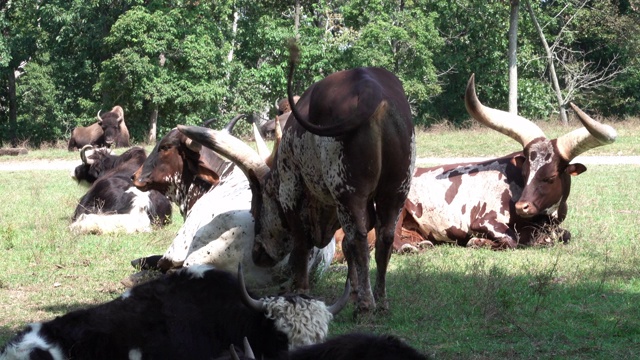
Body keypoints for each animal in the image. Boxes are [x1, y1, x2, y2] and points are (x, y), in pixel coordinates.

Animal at [180, 42, 418, 314]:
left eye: (256, 207)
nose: (257, 253)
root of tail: (372, 89)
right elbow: (347, 246)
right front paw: (353, 291)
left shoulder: (291, 189)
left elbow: (302, 243)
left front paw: (301, 289)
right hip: (397, 188)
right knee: (384, 236)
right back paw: (381, 301)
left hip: (348, 191)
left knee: (357, 237)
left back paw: (366, 305)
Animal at [398, 74, 616, 249]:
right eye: (525, 173)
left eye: (551, 176)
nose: (522, 207)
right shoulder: (485, 221)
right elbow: (514, 239)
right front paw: (478, 241)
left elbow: (565, 235)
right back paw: (408, 247)